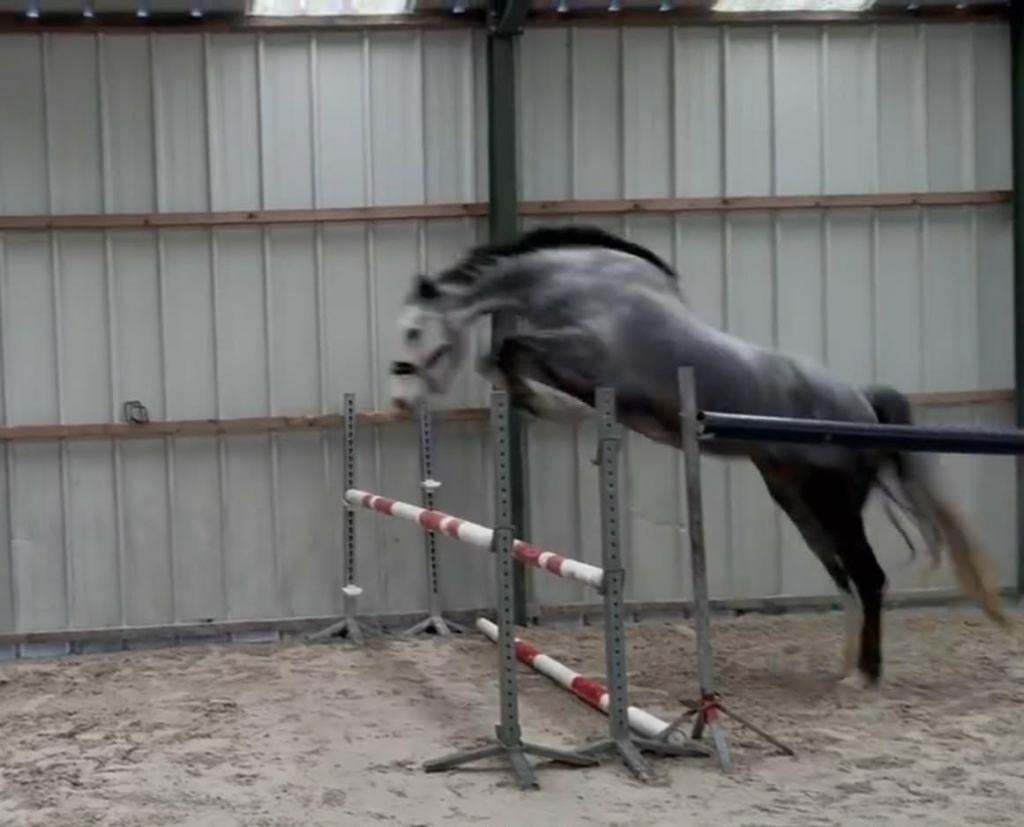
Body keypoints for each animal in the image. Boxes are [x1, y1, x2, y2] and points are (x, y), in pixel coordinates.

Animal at [387, 224, 1010, 689]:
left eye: (415, 331)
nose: (399, 402)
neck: (582, 283)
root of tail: (859, 404)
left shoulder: (586, 354)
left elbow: (508, 350)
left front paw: (553, 407)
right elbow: (502, 358)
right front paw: (550, 405)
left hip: (834, 501)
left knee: (869, 576)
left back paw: (867, 677)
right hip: (793, 497)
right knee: (844, 579)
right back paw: (842, 668)